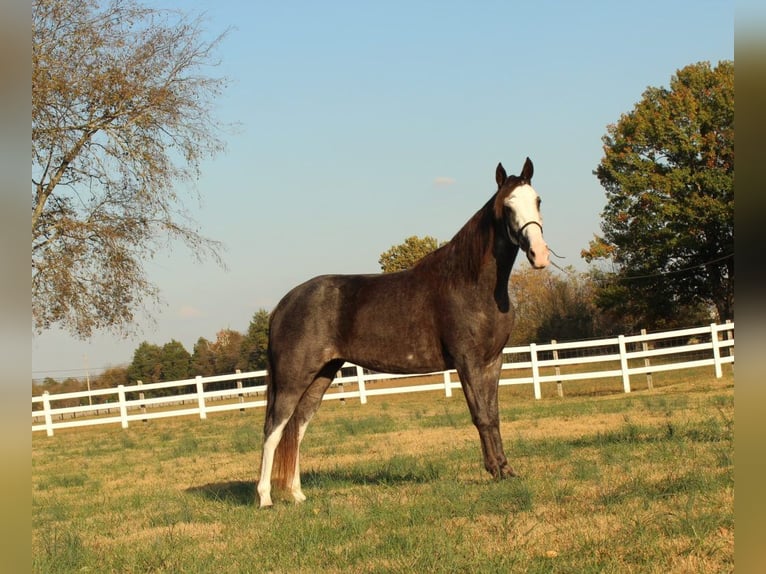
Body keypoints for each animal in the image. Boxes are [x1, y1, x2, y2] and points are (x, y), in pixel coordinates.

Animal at [260, 158, 548, 508]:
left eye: (537, 201)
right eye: (507, 206)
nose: (539, 254)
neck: (471, 284)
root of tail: (282, 305)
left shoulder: (493, 362)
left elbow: (493, 416)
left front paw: (506, 470)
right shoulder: (467, 362)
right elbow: (480, 415)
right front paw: (494, 471)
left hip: (321, 376)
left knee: (297, 427)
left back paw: (297, 494)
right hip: (293, 378)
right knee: (273, 429)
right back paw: (265, 498)